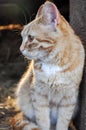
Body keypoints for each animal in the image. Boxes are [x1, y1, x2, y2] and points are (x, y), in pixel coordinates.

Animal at [11, 1, 84, 130]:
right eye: (22, 37)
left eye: (30, 38)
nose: (20, 49)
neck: (53, 62)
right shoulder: (39, 95)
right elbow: (43, 120)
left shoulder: (69, 98)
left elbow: (63, 121)